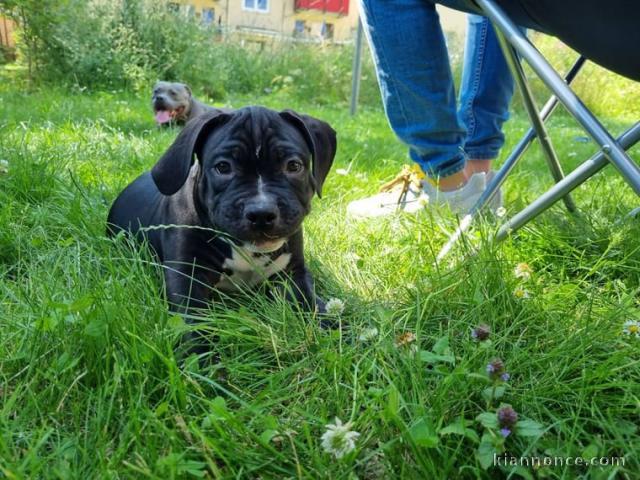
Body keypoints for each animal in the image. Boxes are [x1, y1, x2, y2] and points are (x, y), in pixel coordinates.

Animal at [107, 107, 338, 350]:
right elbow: (193, 325)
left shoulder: (293, 274)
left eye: (293, 166)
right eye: (223, 167)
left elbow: (309, 302)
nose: (261, 213)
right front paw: (201, 356)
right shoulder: (186, 277)